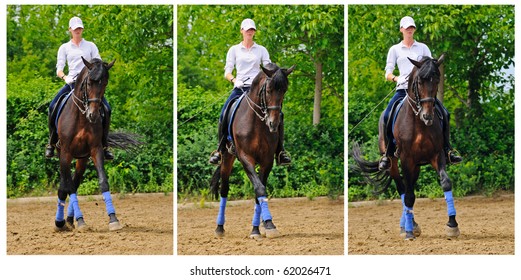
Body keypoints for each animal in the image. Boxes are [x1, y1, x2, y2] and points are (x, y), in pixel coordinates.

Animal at [53, 57, 141, 232]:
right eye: (88, 83)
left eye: (105, 83)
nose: (93, 115)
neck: (81, 117)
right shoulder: (66, 152)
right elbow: (69, 188)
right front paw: (80, 221)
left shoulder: (95, 149)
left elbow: (103, 182)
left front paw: (113, 219)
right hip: (63, 154)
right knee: (65, 186)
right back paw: (60, 222)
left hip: (82, 159)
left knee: (73, 183)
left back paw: (68, 220)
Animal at [208, 63, 296, 238]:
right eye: (268, 90)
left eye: (284, 90)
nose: (273, 124)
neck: (257, 122)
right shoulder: (245, 158)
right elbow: (259, 188)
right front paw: (266, 225)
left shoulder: (267, 160)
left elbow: (259, 191)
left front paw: (261, 227)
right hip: (227, 157)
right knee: (224, 189)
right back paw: (219, 227)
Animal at [350, 54, 460, 241]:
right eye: (419, 82)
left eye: (437, 80)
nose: (427, 116)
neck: (420, 124)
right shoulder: (406, 158)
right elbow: (408, 195)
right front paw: (408, 232)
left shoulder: (437, 155)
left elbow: (445, 183)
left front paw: (452, 225)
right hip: (394, 163)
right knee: (403, 189)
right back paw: (407, 226)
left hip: (417, 165)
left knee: (410, 188)